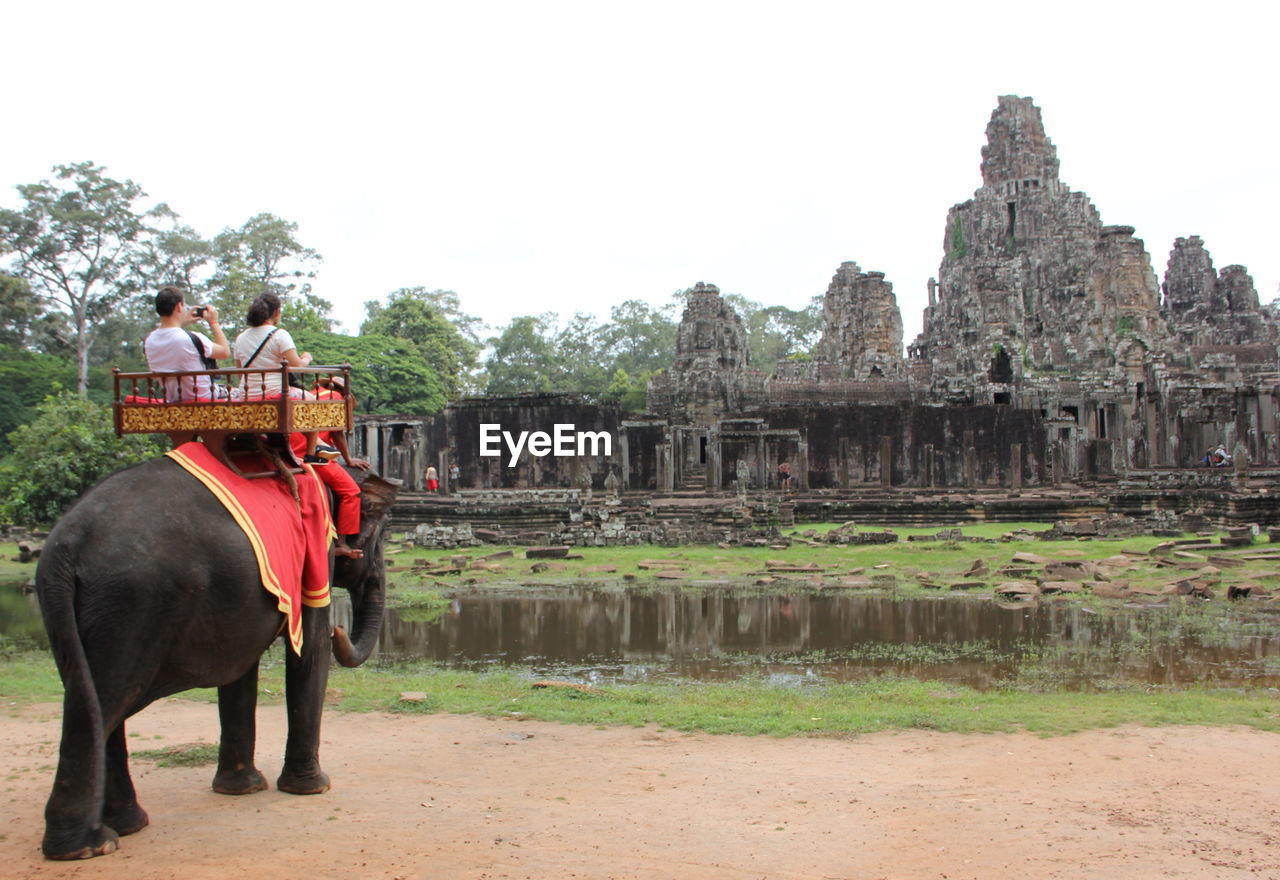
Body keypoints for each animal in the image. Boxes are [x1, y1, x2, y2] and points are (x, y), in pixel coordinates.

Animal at [35, 452, 396, 859]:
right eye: (381, 534)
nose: (341, 631)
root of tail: (65, 547)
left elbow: (242, 670)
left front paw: (241, 788)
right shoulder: (315, 553)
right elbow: (310, 648)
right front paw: (313, 787)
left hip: (77, 611)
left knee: (89, 700)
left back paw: (124, 825)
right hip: (129, 605)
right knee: (103, 705)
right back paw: (86, 845)